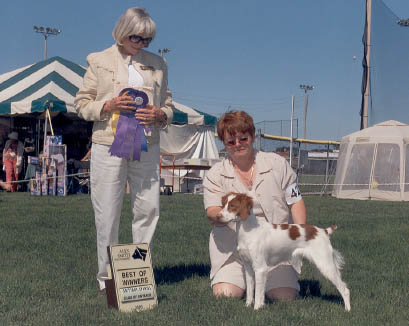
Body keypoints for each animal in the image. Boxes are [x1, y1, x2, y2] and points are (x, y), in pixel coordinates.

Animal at [218, 192, 350, 312]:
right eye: (223, 205)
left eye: (233, 206)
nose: (218, 216)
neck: (249, 231)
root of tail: (324, 231)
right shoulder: (248, 267)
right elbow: (251, 291)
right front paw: (247, 306)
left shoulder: (260, 269)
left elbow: (258, 293)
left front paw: (256, 309)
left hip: (326, 265)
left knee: (345, 289)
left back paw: (347, 310)